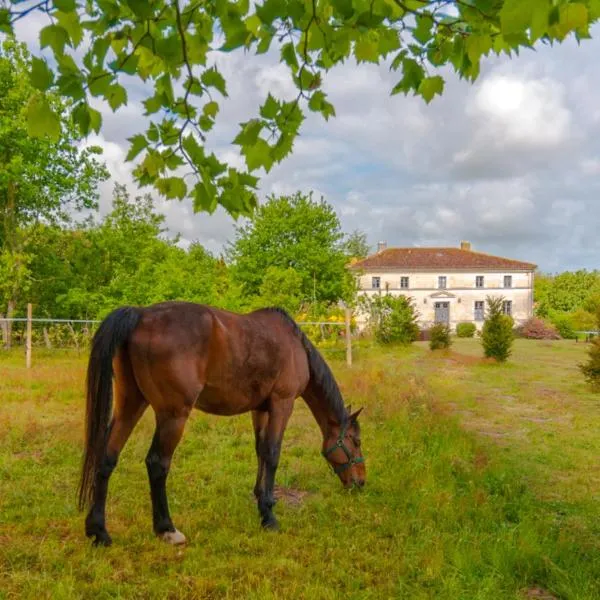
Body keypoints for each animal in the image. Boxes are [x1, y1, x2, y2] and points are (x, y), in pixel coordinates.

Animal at [77, 302, 364, 548]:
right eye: (356, 441)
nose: (360, 483)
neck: (295, 346)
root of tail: (140, 314)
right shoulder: (282, 405)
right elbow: (272, 454)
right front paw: (269, 517)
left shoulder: (260, 409)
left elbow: (260, 451)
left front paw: (261, 501)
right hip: (173, 415)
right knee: (157, 463)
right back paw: (166, 529)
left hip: (130, 405)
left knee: (106, 457)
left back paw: (99, 531)